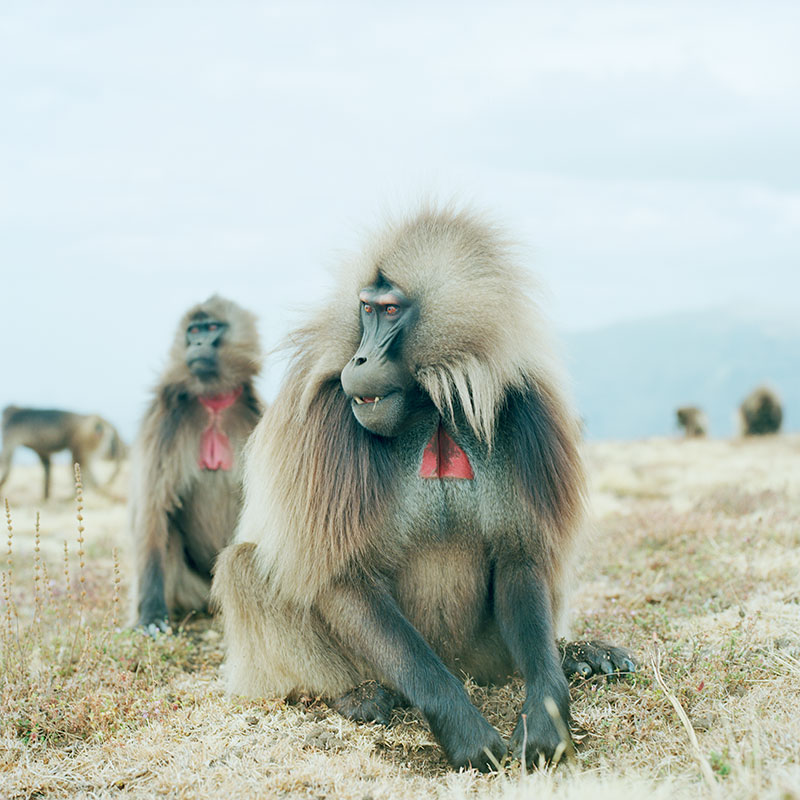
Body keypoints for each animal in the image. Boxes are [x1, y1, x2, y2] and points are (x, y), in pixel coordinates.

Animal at [129, 295, 263, 632]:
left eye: (212, 328)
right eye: (193, 330)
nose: (199, 343)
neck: (213, 404)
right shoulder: (163, 422)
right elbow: (152, 511)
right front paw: (151, 614)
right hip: (190, 588)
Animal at [211, 207, 635, 772]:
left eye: (390, 311)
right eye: (366, 309)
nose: (359, 361)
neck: (429, 403)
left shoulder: (522, 413)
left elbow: (520, 558)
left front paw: (546, 713)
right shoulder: (326, 423)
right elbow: (342, 578)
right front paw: (463, 729)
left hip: (486, 656)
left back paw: (579, 655)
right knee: (245, 566)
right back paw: (354, 695)